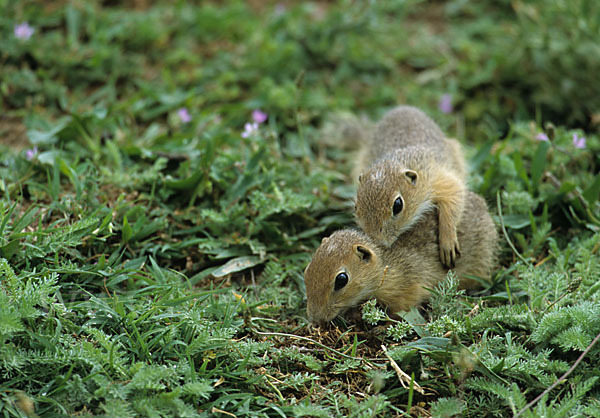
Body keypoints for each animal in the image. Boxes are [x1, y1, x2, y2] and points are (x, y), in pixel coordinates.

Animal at [354, 104, 466, 268]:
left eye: (398, 205)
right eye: (356, 206)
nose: (377, 242)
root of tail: (402, 107)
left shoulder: (439, 179)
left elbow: (454, 200)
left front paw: (448, 242)